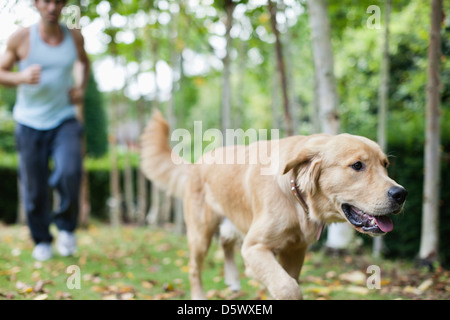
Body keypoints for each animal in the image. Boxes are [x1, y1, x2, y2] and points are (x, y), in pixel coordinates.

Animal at [142, 110, 408, 300]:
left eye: (385, 165)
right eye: (357, 166)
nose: (401, 194)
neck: (295, 199)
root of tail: (197, 162)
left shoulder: (295, 251)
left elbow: (289, 281)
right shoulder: (255, 247)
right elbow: (289, 287)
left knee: (226, 243)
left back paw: (233, 280)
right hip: (200, 233)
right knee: (195, 268)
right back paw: (200, 295)